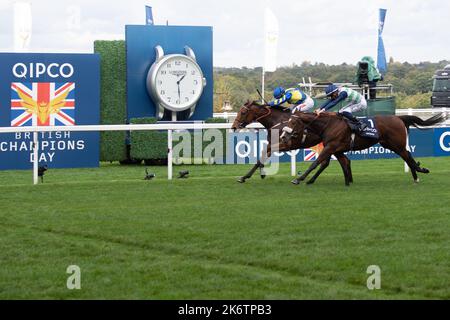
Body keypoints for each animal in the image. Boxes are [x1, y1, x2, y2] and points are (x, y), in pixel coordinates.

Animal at [282, 110, 446, 184]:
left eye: (293, 122)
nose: (283, 136)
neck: (329, 124)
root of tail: (398, 117)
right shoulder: (336, 149)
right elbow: (341, 162)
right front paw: (348, 181)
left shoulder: (330, 147)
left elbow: (316, 162)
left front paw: (299, 179)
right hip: (390, 144)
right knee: (407, 156)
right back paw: (417, 174)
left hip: (396, 144)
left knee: (407, 156)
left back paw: (419, 172)